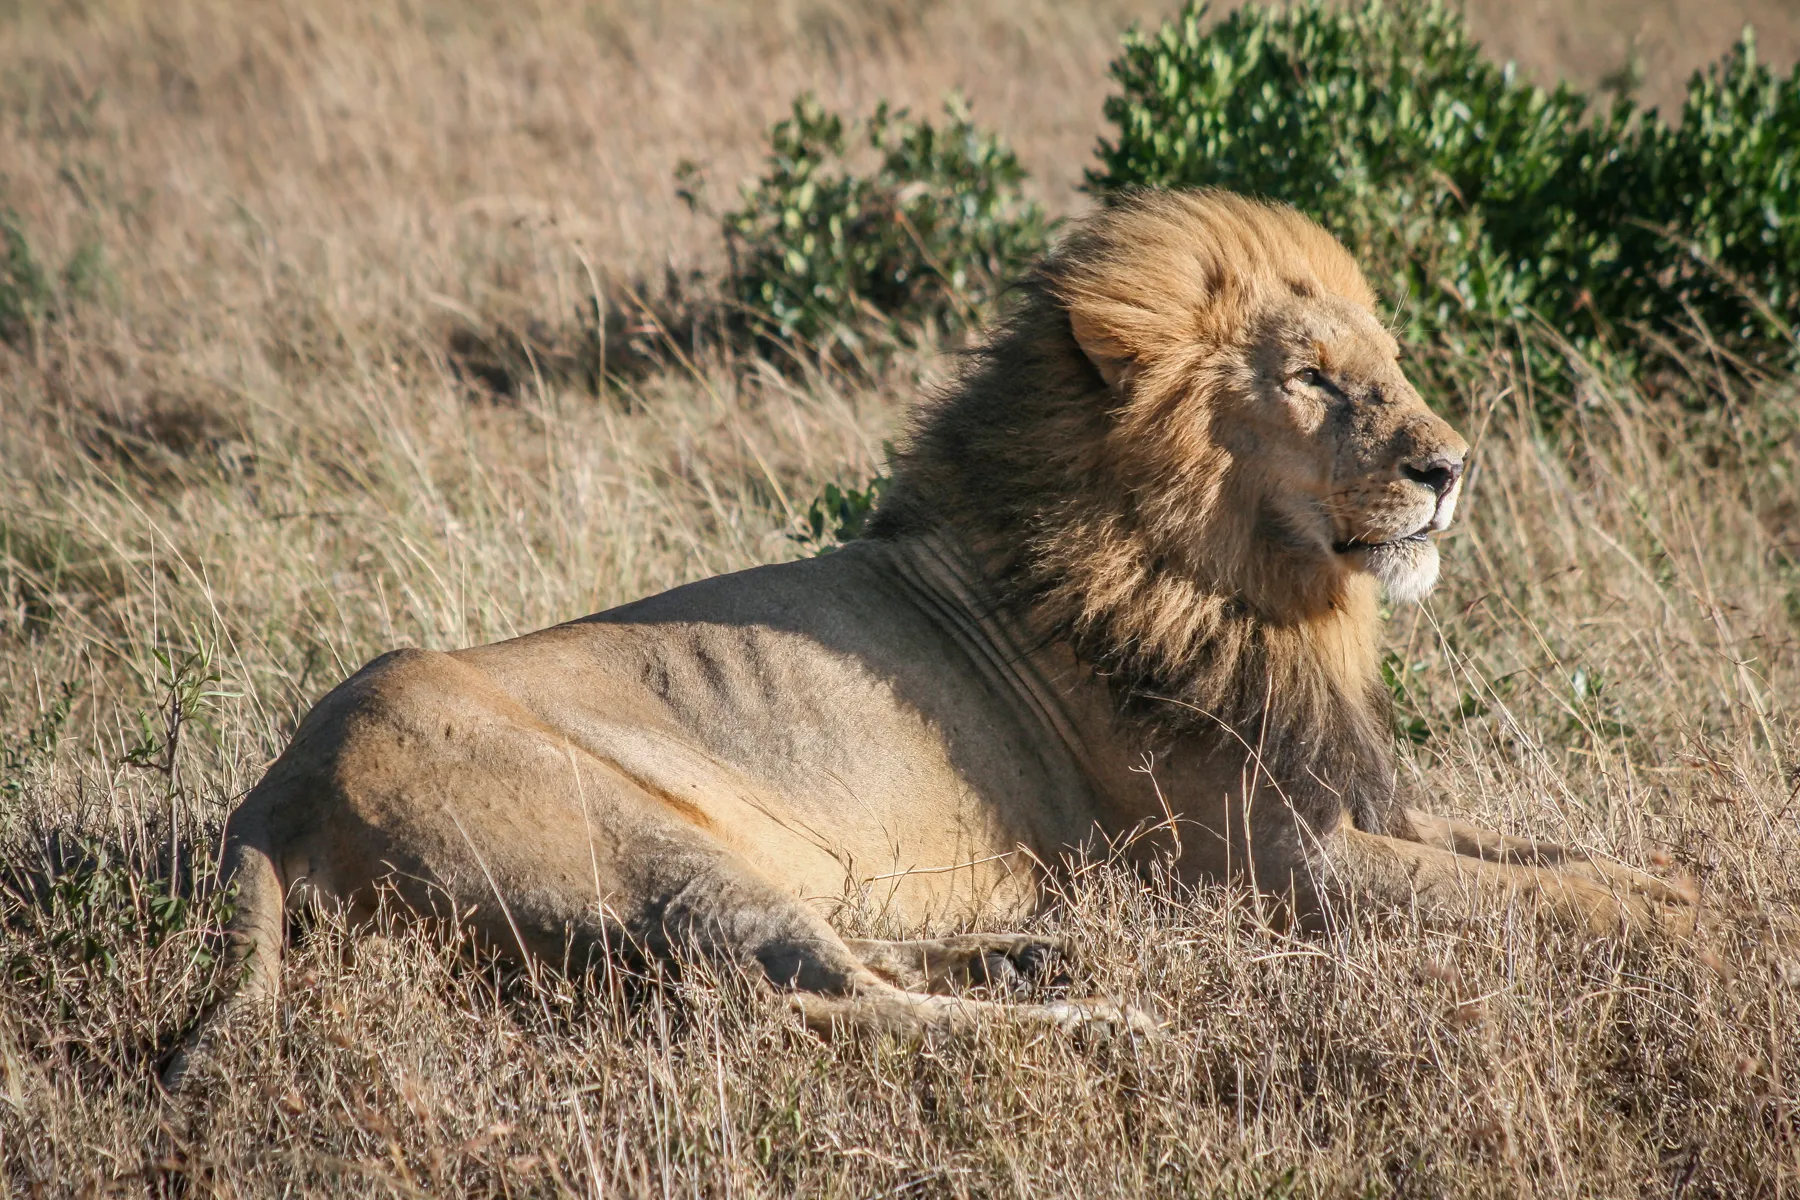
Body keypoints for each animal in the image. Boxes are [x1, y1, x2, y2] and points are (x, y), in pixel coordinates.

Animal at [165, 190, 1720, 1087]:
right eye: (1317, 382)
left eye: (1390, 370)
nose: (1453, 466)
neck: (1242, 590)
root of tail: (270, 796)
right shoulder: (1284, 869)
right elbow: (1536, 904)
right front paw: (1711, 931)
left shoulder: (1342, 796)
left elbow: (1552, 859)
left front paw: (1684, 878)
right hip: (650, 855)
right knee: (799, 1008)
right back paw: (1108, 1025)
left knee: (853, 970)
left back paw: (1037, 954)